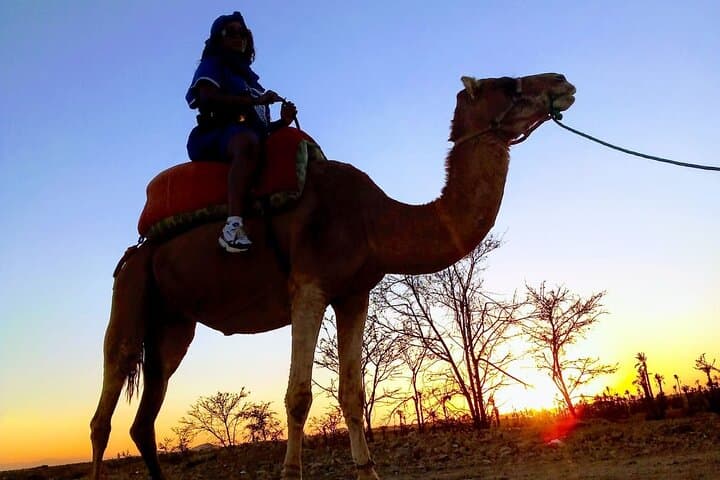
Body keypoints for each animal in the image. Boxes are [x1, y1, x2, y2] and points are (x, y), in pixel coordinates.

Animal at [89, 72, 575, 480]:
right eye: (508, 84)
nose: (562, 82)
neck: (372, 219)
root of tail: (137, 248)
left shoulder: (354, 294)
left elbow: (352, 394)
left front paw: (368, 470)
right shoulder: (308, 287)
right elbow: (299, 396)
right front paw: (291, 472)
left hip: (173, 323)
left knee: (146, 413)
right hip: (130, 289)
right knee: (106, 404)